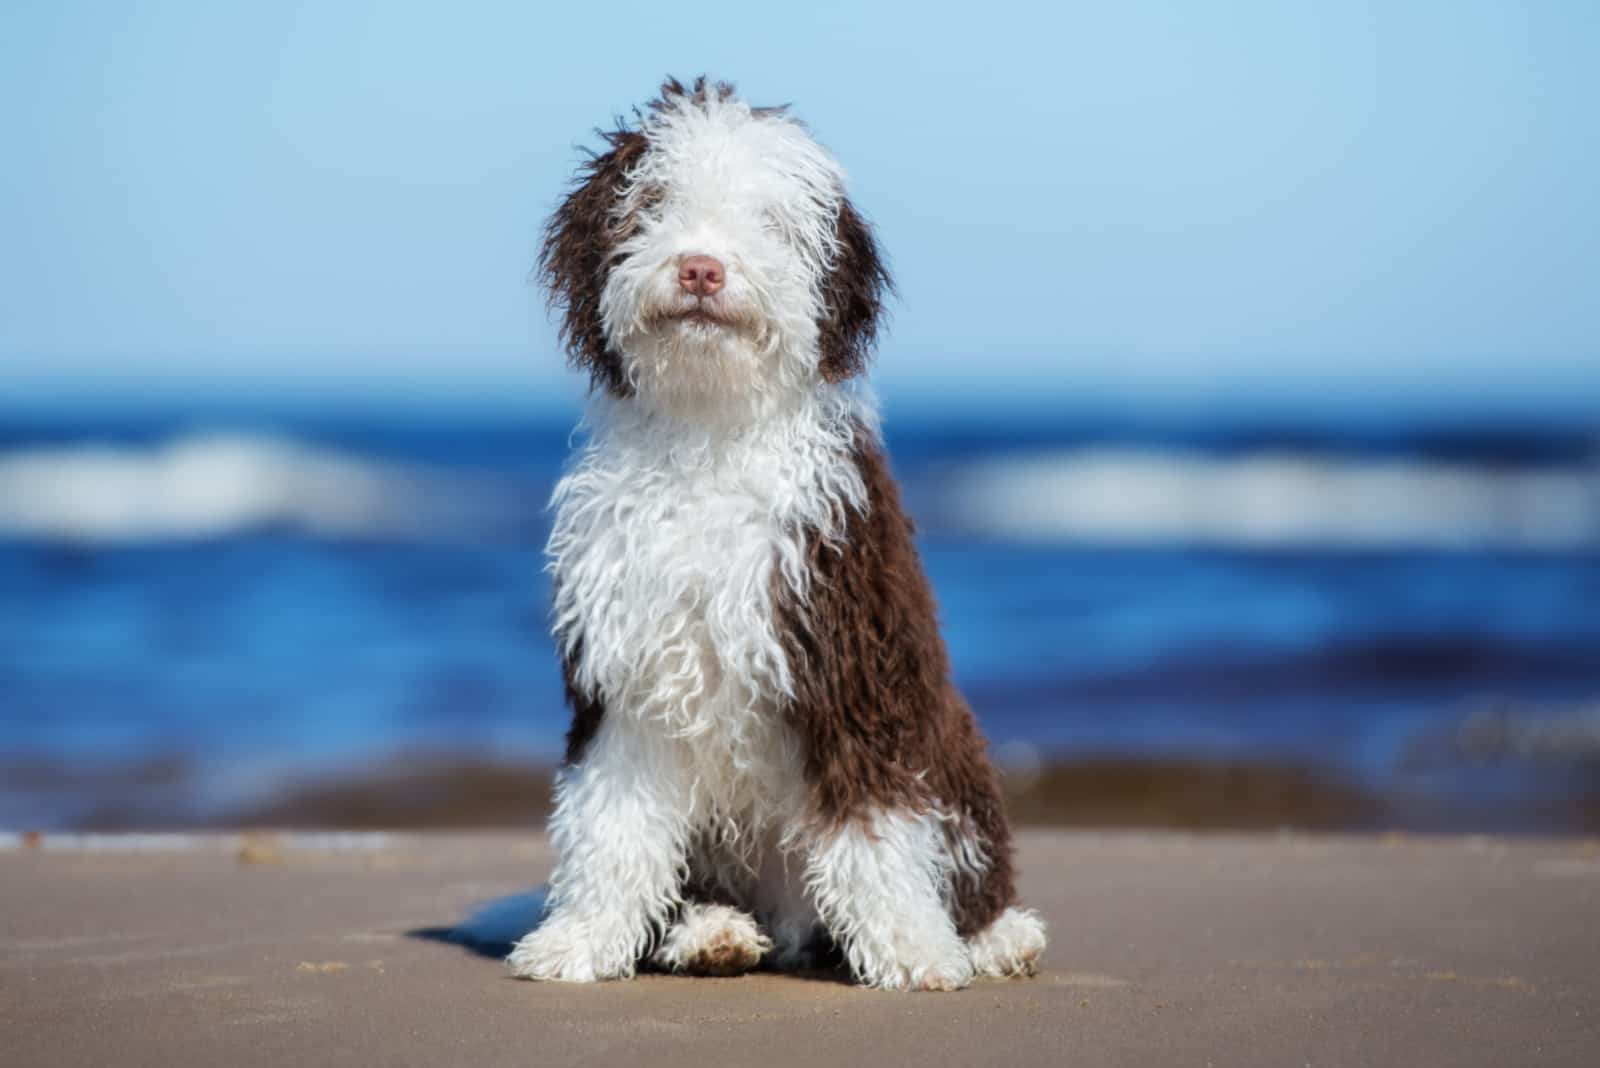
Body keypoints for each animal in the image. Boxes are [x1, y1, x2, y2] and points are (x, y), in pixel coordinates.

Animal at [505, 77, 1043, 991]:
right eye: (651, 202)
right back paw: (711, 932)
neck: (711, 433)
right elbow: (615, 822)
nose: (700, 266)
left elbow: (874, 825)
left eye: (770, 221)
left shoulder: (850, 664)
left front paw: (913, 946)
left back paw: (997, 935)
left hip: (955, 766)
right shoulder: (627, 683)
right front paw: (580, 938)